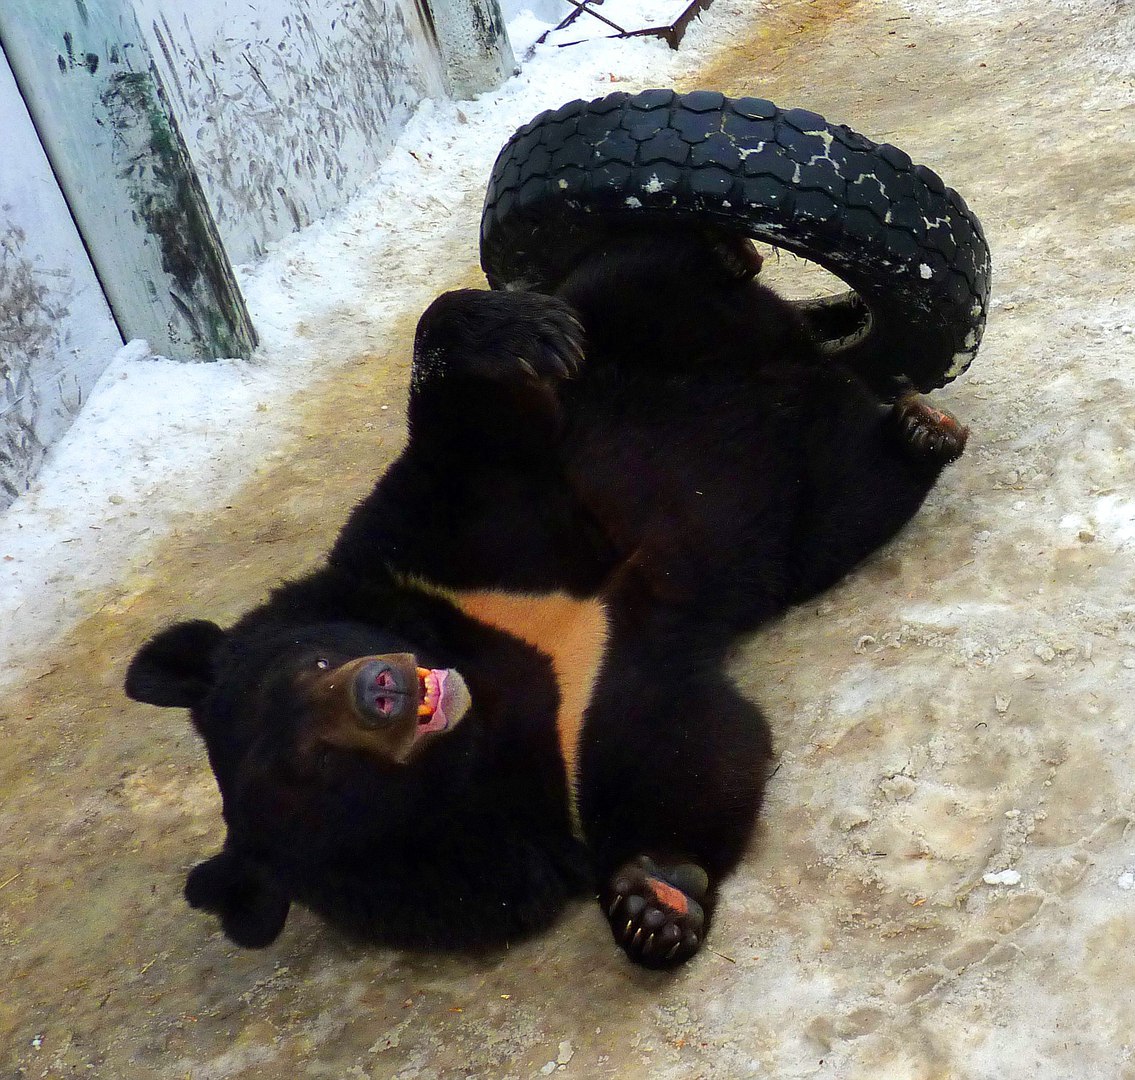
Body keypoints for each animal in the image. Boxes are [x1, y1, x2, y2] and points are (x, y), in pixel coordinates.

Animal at [125, 228, 968, 968]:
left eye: (314, 661)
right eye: (319, 768)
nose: (382, 688)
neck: (493, 670)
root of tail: (798, 359)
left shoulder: (440, 547)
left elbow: (466, 433)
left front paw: (519, 332)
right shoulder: (567, 740)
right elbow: (684, 747)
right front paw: (653, 902)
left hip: (649, 333)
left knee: (637, 277)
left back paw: (727, 259)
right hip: (805, 510)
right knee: (853, 492)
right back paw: (917, 430)